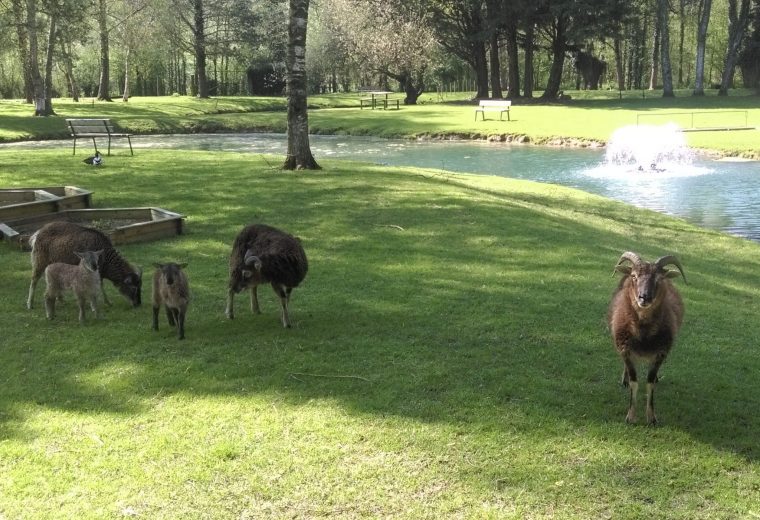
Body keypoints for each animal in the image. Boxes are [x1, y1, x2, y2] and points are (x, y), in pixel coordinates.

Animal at [608, 252, 684, 426]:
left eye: (659, 279)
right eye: (634, 276)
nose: (644, 298)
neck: (643, 334)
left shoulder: (660, 353)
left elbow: (649, 383)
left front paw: (652, 417)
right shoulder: (625, 350)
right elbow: (634, 382)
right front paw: (630, 417)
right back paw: (624, 380)